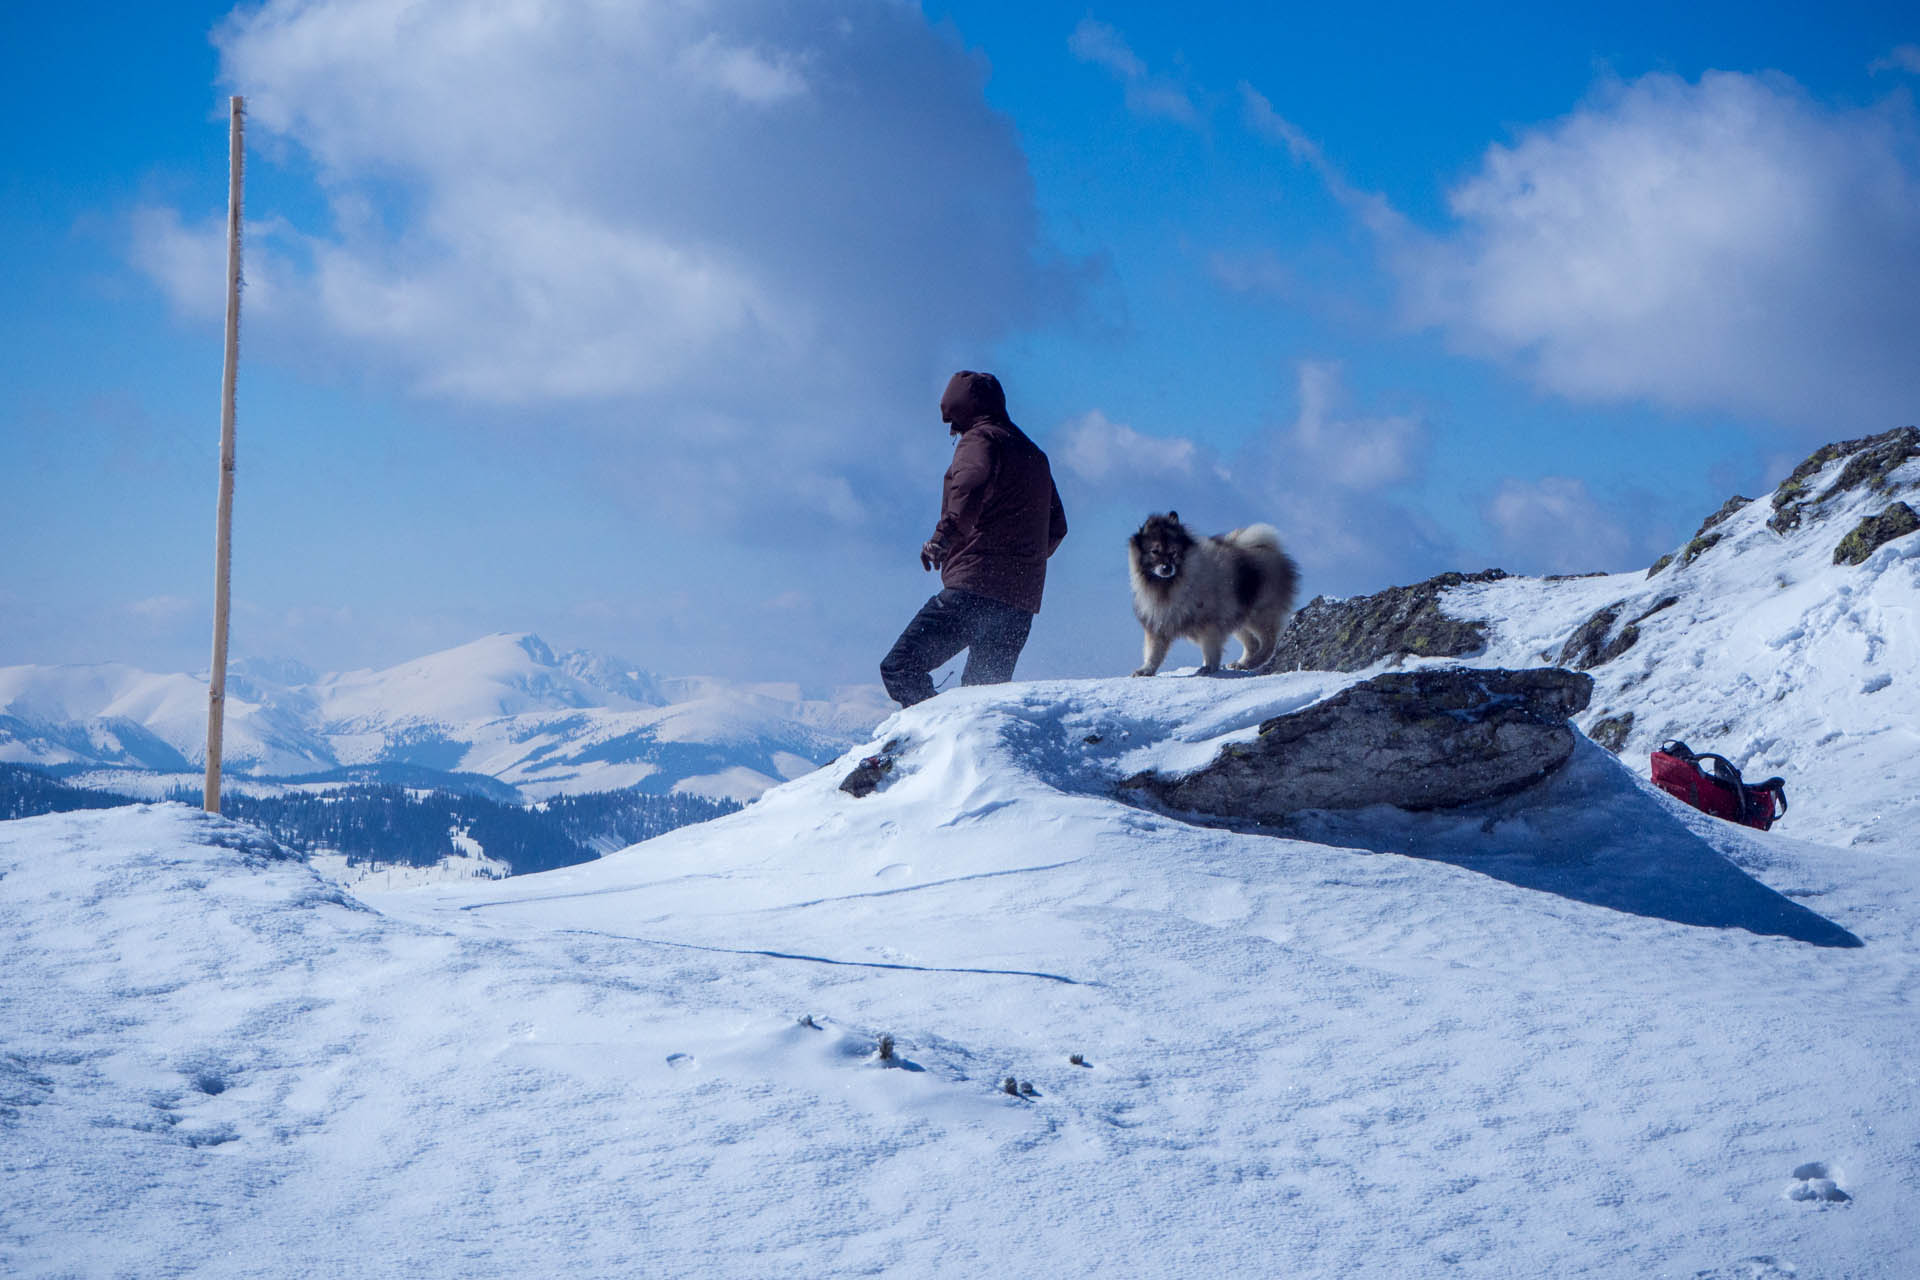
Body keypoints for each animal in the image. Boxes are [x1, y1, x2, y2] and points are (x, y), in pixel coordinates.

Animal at [1128, 510, 1297, 675]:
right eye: (1154, 551)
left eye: (1173, 552)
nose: (1166, 568)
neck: (1171, 585)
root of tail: (1268, 549)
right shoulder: (1159, 623)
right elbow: (1154, 652)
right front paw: (1146, 670)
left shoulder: (1209, 624)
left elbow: (1210, 648)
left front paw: (1209, 667)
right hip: (1239, 620)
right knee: (1253, 644)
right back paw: (1243, 663)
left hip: (1259, 614)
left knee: (1269, 642)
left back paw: (1254, 661)